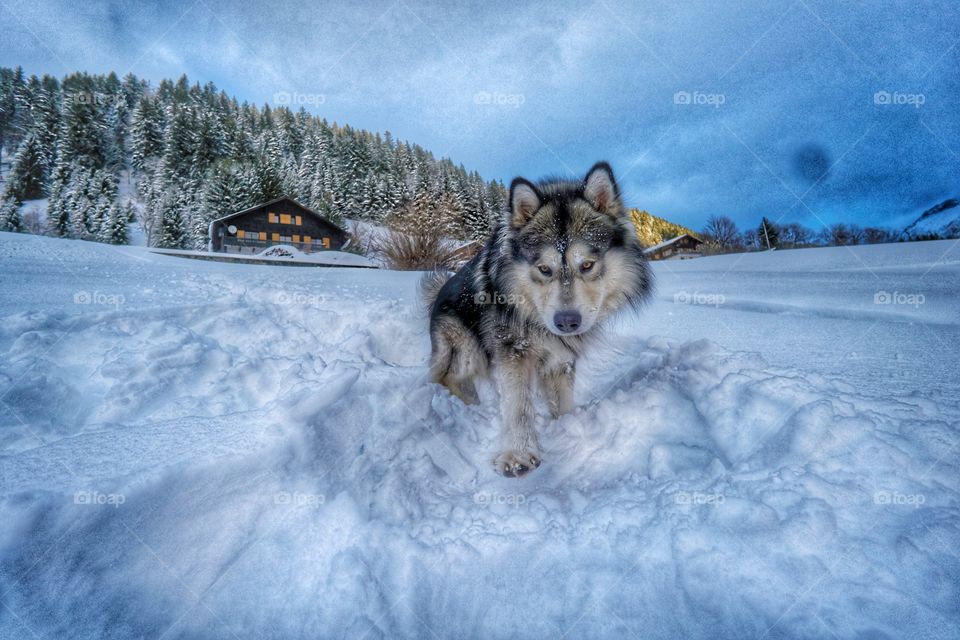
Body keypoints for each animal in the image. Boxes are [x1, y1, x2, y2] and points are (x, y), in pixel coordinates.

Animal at [423, 162, 653, 477]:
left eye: (587, 265)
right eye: (544, 269)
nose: (567, 322)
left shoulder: (560, 360)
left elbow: (561, 401)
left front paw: (567, 426)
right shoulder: (512, 350)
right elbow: (518, 404)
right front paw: (518, 454)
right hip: (466, 347)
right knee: (448, 376)